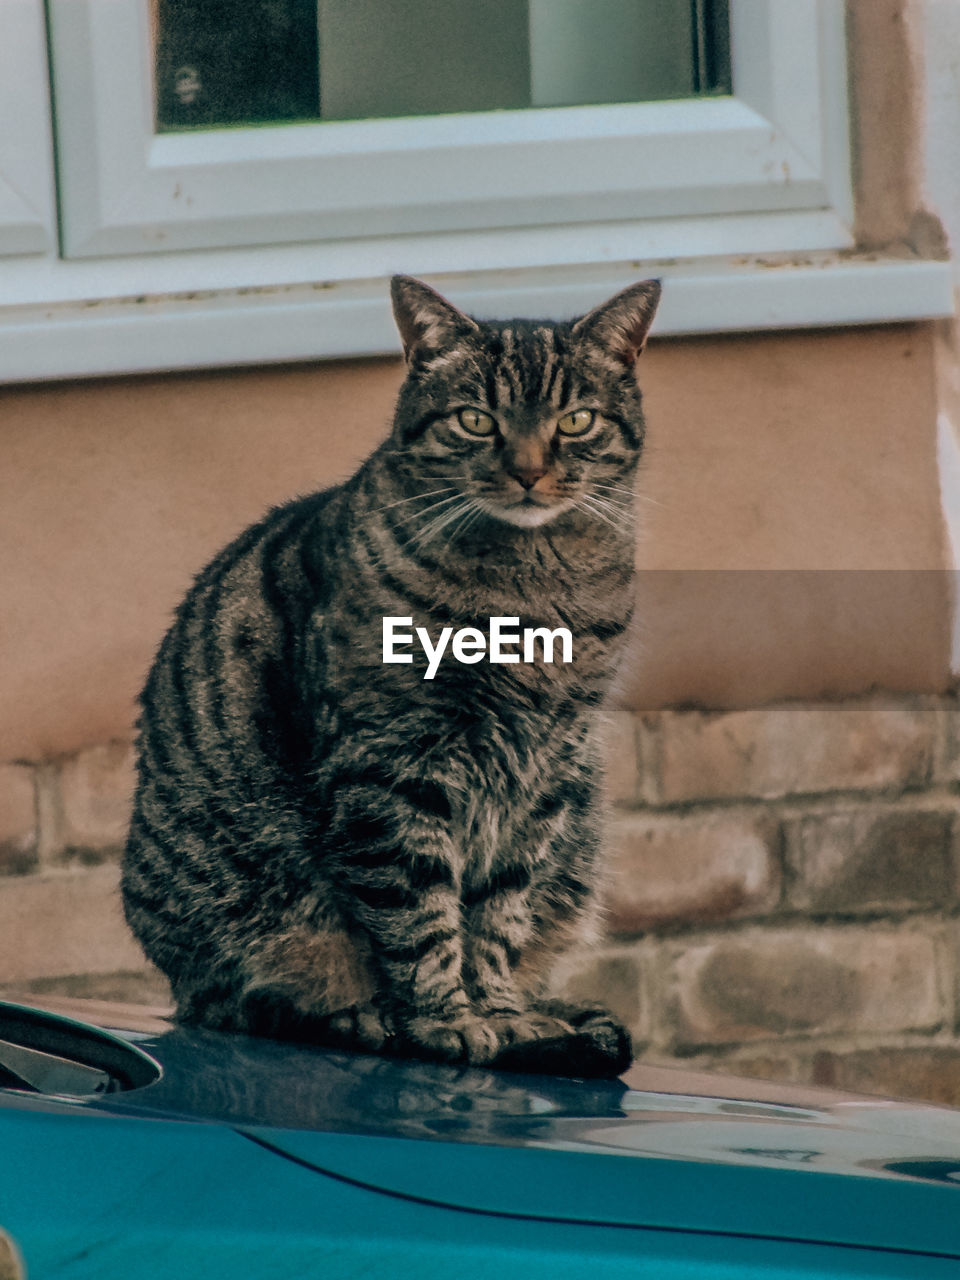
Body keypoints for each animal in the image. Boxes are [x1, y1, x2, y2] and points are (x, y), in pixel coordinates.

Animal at [122, 272, 660, 1080]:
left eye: (576, 420)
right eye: (475, 420)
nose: (529, 471)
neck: (528, 592)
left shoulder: (546, 768)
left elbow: (501, 911)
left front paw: (501, 1011)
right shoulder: (391, 764)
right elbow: (418, 911)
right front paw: (448, 1021)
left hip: (581, 821)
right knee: (262, 1000)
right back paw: (367, 1017)